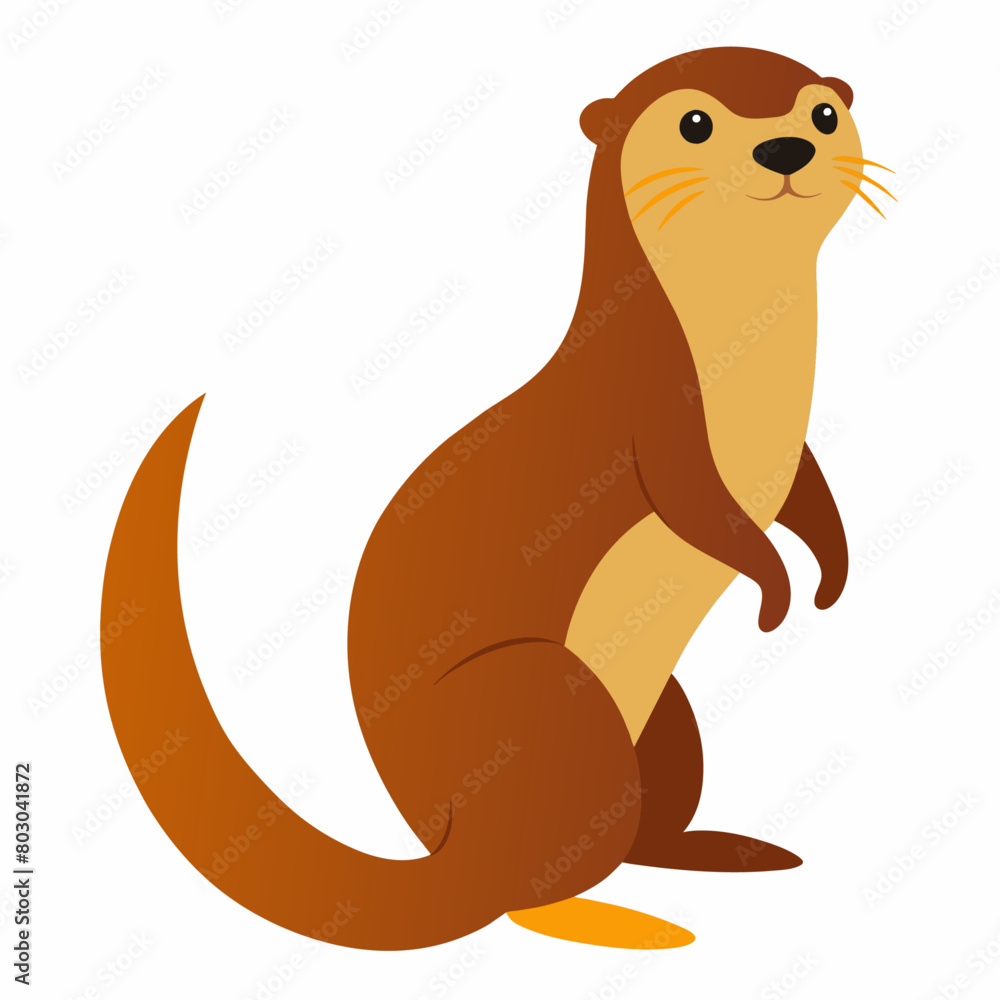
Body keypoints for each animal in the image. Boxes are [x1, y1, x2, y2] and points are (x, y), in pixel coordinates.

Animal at [101, 47, 886, 951]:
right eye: (696, 122)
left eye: (822, 114)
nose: (786, 149)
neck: (745, 362)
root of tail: (445, 835)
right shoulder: (651, 417)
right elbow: (702, 510)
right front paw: (775, 589)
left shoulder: (789, 453)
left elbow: (809, 494)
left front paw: (830, 573)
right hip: (546, 693)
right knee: (524, 892)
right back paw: (622, 921)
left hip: (662, 717)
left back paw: (719, 852)